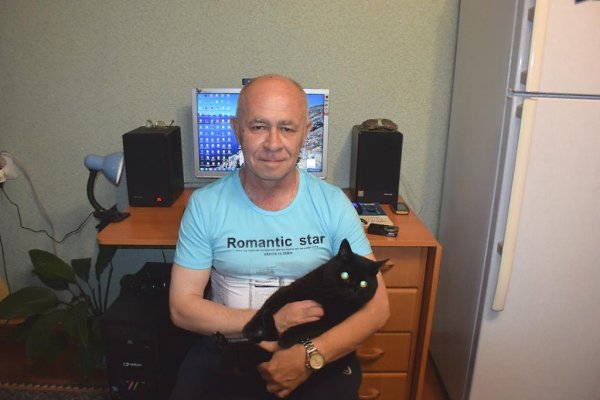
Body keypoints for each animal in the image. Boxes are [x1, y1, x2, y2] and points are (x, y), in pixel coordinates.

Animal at [215, 238, 386, 375]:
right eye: (345, 275)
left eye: (363, 284)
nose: (352, 289)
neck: (329, 296)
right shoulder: (289, 290)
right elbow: (268, 304)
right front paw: (250, 327)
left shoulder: (331, 320)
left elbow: (307, 327)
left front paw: (286, 338)